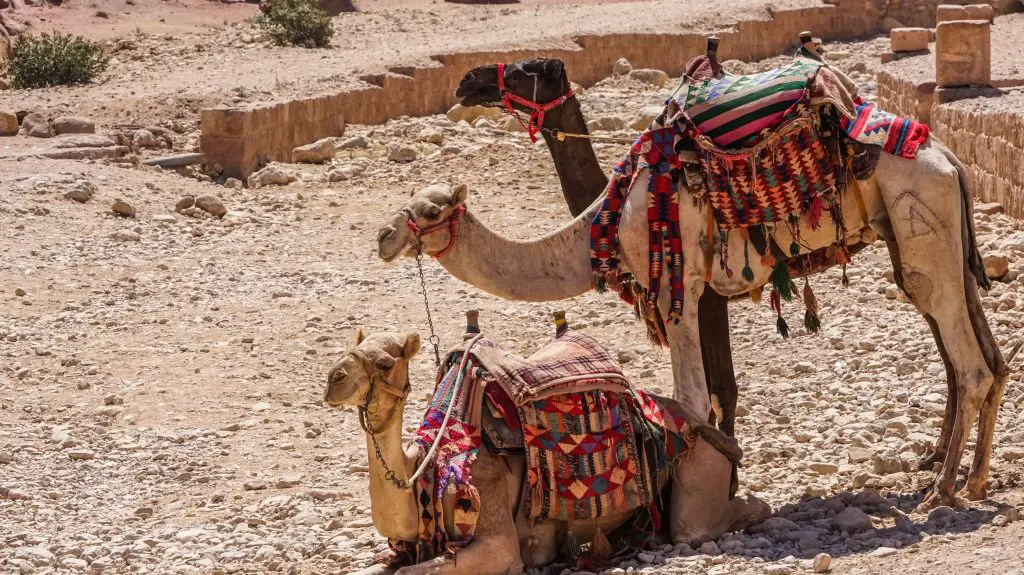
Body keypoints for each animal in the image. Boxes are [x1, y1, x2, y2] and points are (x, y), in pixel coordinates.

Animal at [325, 327, 770, 572]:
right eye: (348, 352)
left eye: (385, 362)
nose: (334, 379)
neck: (431, 468)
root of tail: (700, 424)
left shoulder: (498, 539)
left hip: (700, 471)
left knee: (718, 518)